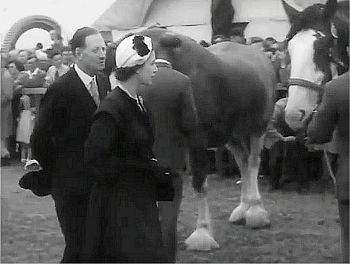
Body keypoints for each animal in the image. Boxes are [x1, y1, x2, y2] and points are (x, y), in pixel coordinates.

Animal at [140, 26, 276, 250]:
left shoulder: (197, 141)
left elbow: (199, 184)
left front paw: (202, 233)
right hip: (231, 134)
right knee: (243, 161)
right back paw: (243, 208)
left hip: (258, 127)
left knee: (253, 162)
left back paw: (256, 211)